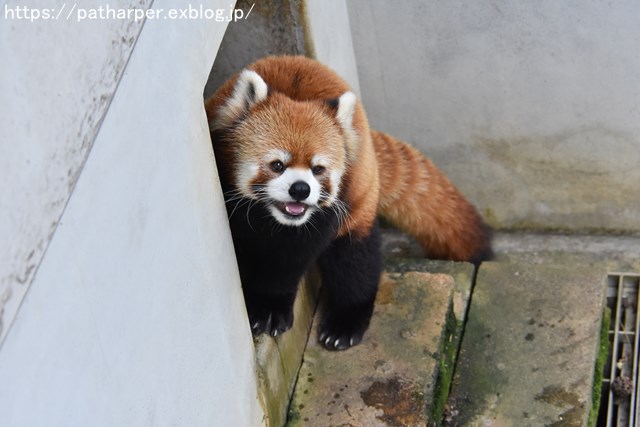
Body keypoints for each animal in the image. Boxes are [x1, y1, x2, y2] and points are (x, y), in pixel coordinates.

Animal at [205, 56, 490, 352]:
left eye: (318, 169)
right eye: (277, 165)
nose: (301, 190)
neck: (271, 219)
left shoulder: (323, 217)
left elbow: (289, 260)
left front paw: (270, 306)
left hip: (359, 199)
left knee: (356, 262)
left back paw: (345, 323)